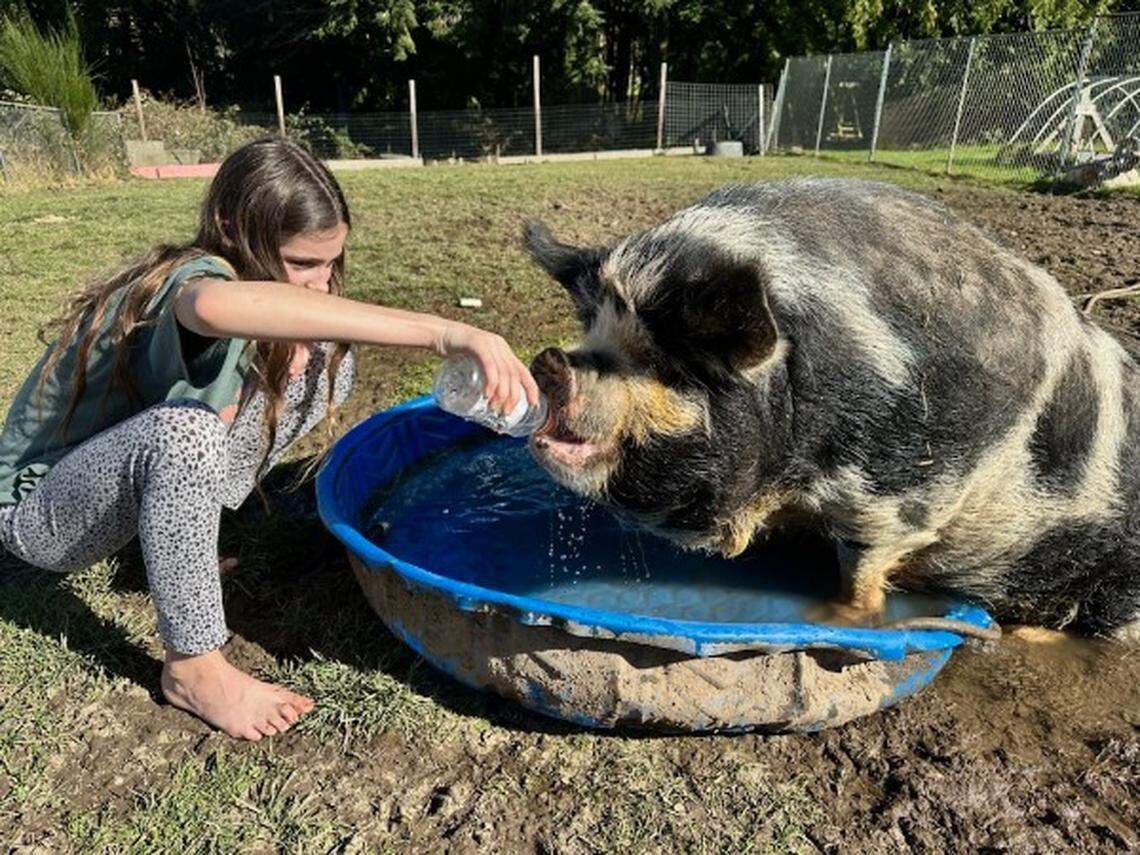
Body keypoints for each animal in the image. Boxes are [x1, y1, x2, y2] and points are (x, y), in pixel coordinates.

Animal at [525, 178, 1140, 639]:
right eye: (592, 327)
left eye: (662, 361)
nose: (550, 359)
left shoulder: (908, 484)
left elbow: (865, 566)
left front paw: (827, 618)